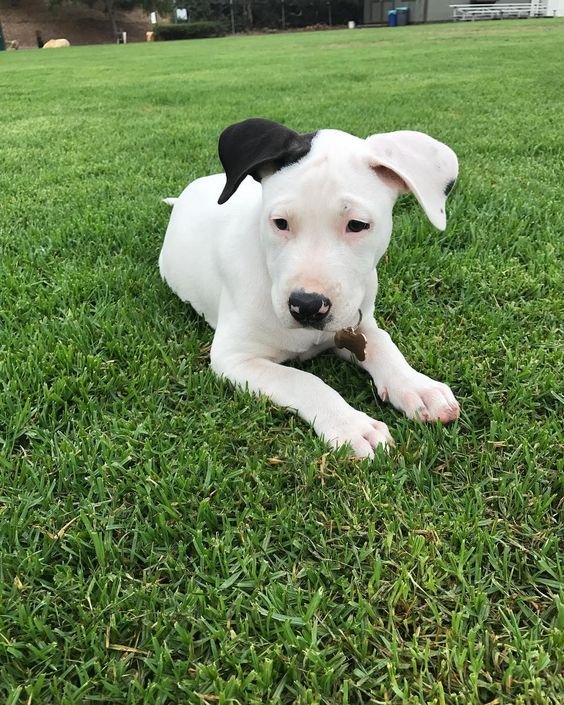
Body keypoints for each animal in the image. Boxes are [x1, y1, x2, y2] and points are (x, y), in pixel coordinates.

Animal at [159, 118, 458, 456]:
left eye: (357, 225)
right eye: (280, 222)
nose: (307, 306)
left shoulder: (358, 324)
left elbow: (383, 345)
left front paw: (418, 387)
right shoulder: (235, 358)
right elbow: (303, 381)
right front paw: (351, 426)